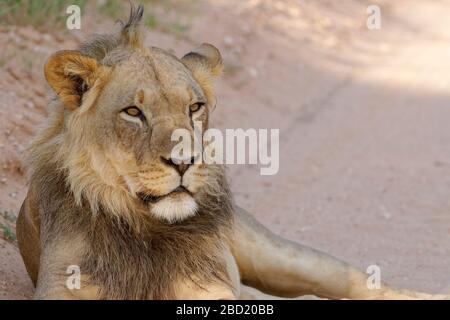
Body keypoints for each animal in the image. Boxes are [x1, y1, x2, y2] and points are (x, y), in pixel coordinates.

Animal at [16, 3, 446, 300]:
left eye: (194, 107)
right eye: (133, 112)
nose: (185, 162)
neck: (146, 231)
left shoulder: (215, 287)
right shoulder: (61, 286)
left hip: (275, 255)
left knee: (353, 282)